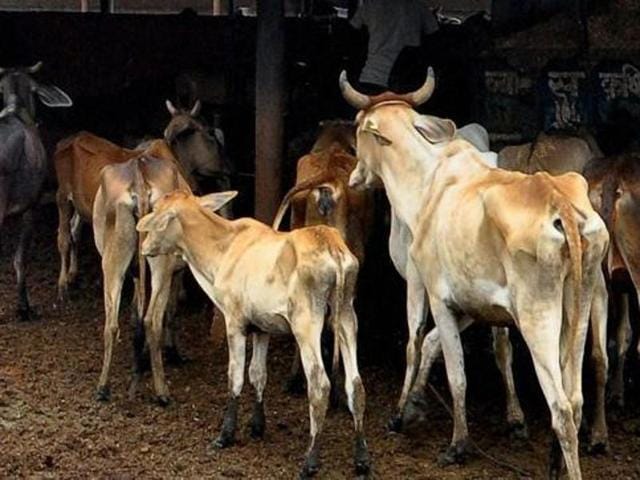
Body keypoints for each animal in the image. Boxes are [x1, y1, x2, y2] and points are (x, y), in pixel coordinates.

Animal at [93, 155, 191, 404]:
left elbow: (134, 314)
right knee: (152, 319)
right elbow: (170, 312)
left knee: (112, 324)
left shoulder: (136, 274)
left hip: (113, 260)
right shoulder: (177, 273)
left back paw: (103, 388)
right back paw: (162, 391)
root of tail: (139, 172)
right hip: (162, 263)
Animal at [137, 190, 371, 478]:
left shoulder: (235, 322)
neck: (224, 249)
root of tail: (333, 247)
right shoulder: (262, 328)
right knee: (356, 385)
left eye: (158, 214)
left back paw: (310, 461)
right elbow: (258, 375)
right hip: (346, 316)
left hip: (307, 324)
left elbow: (235, 377)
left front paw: (225, 435)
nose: (144, 246)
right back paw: (361, 459)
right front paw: (257, 426)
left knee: (320, 385)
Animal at [341, 71, 609, 479]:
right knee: (576, 396)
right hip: (578, 311)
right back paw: (556, 462)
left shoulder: (432, 292)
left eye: (358, 129)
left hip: (538, 318)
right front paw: (416, 405)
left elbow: (435, 358)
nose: (355, 176)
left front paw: (444, 437)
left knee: (561, 407)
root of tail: (558, 200)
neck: (428, 182)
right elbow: (435, 344)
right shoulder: (474, 304)